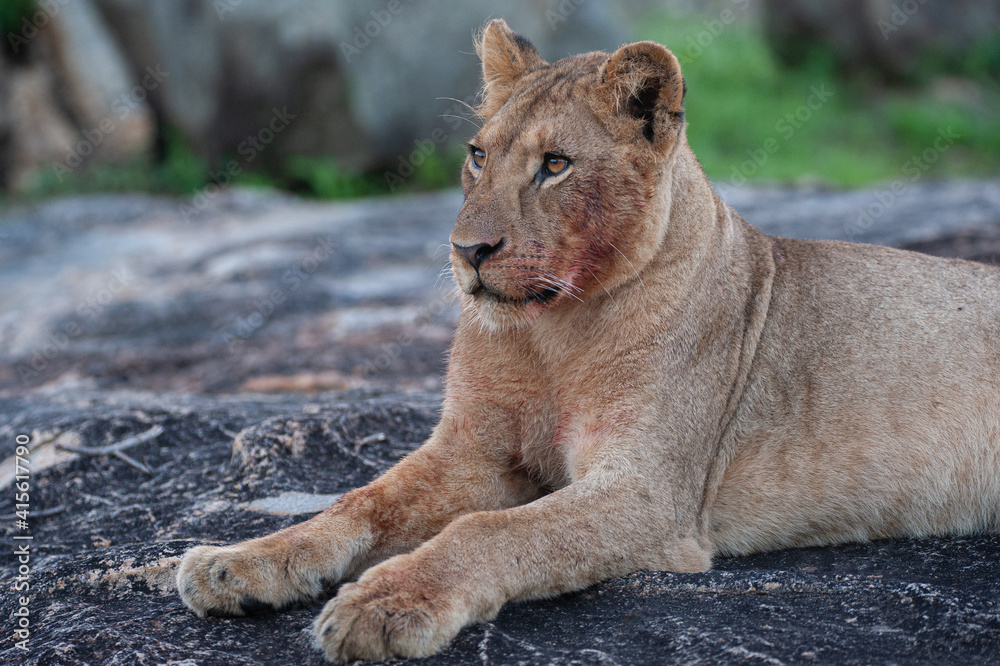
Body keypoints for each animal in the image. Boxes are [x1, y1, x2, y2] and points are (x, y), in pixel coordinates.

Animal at [176, 19, 1000, 662]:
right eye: (478, 155)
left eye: (555, 165)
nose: (467, 252)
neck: (551, 336)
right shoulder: (471, 450)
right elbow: (360, 503)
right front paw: (234, 566)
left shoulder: (651, 494)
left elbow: (486, 532)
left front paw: (383, 605)